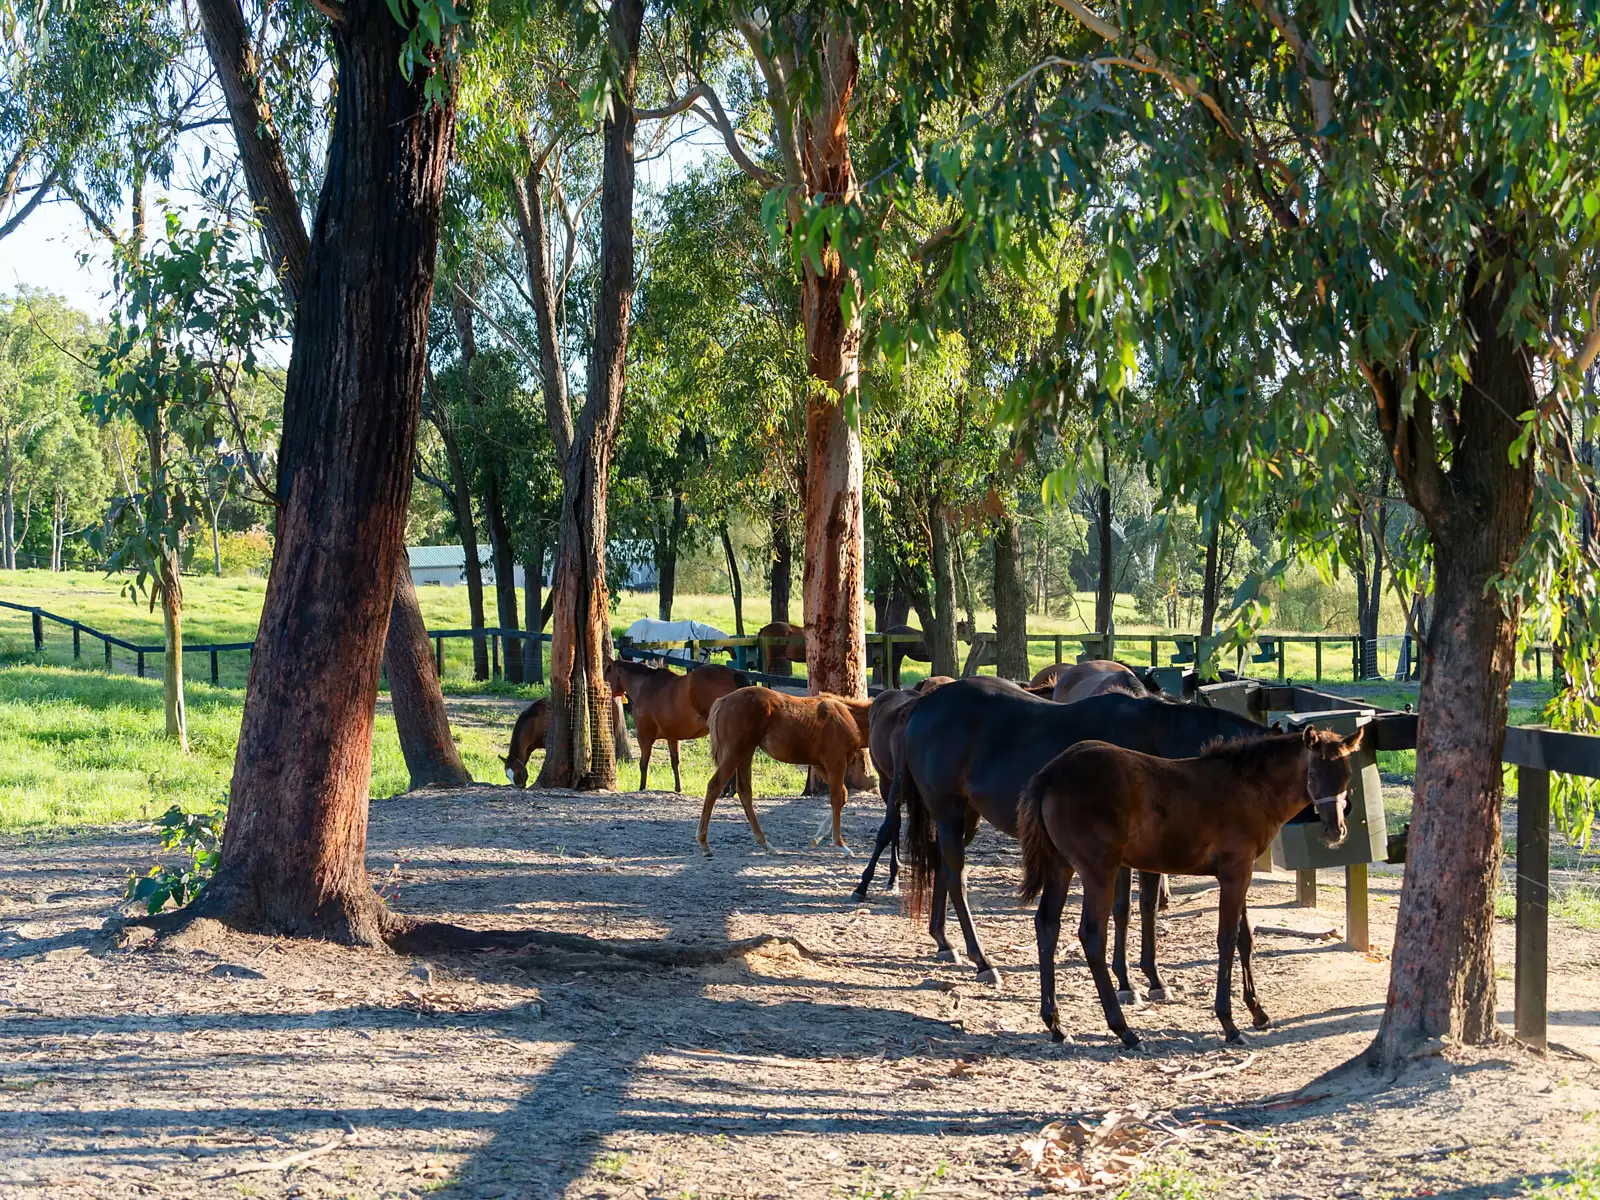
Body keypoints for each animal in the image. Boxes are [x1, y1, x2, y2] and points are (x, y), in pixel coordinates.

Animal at [601, 662, 745, 793]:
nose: (602, 690)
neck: (645, 685)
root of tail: (733, 674)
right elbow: (675, 762)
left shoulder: (644, 737)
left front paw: (642, 787)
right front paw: (678, 788)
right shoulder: (672, 737)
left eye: (606, 672)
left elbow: (643, 763)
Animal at [704, 684, 876, 864]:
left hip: (746, 753)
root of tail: (724, 700)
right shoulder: (835, 763)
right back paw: (704, 845)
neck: (847, 716)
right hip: (735, 752)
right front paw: (841, 845)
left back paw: (766, 845)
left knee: (745, 792)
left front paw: (815, 839)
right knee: (714, 786)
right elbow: (836, 799)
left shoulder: (821, 765)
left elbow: (843, 795)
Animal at [902, 681, 1273, 992]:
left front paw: (1150, 978)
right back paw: (982, 961)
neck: (1158, 743)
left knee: (941, 869)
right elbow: (1123, 909)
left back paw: (944, 942)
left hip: (966, 817)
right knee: (956, 879)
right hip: (948, 813)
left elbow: (1144, 907)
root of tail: (926, 703)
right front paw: (1127, 982)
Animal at [1017, 729, 1356, 1049]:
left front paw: (1258, 1011)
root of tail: (1051, 772)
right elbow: (1227, 939)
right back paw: (1124, 1030)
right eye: (1313, 774)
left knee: (1047, 925)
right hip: (1099, 871)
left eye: (1347, 777)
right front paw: (1229, 1023)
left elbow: (1245, 938)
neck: (1249, 787)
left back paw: (1056, 1025)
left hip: (1061, 866)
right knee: (1091, 935)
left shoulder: (1240, 872)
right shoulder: (1235, 872)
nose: (1335, 830)